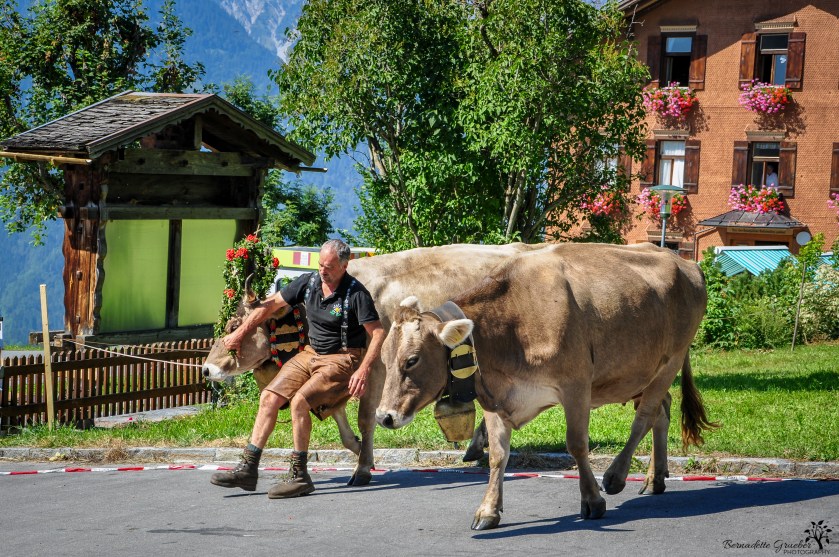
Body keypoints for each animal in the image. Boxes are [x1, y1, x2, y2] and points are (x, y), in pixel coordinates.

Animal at [202, 242, 546, 485]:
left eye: (234, 325)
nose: (205, 368)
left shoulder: (376, 371)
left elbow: (366, 417)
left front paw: (363, 467)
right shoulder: (342, 374)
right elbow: (339, 416)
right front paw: (358, 449)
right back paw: (476, 446)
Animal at [375, 242, 717, 530]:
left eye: (412, 360)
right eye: (384, 358)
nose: (383, 416)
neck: (512, 323)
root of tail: (684, 261)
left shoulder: (576, 385)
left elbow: (577, 444)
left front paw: (592, 501)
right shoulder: (495, 398)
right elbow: (498, 454)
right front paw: (488, 510)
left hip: (671, 361)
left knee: (644, 418)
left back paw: (616, 476)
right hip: (639, 371)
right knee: (662, 411)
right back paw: (654, 478)